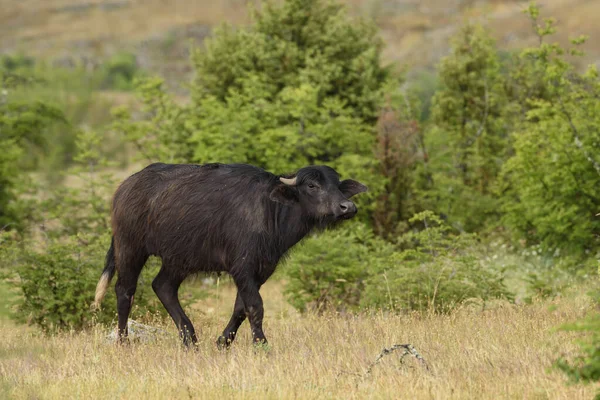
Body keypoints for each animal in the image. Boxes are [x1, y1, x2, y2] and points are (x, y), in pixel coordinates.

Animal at [92, 162, 368, 346]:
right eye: (312, 185)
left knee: (163, 286)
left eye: (337, 186)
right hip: (130, 248)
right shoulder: (242, 267)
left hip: (178, 259)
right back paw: (124, 341)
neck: (271, 210)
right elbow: (255, 306)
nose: (348, 207)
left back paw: (190, 339)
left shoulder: (262, 269)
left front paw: (223, 341)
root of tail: (125, 188)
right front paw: (261, 344)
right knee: (125, 291)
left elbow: (240, 308)